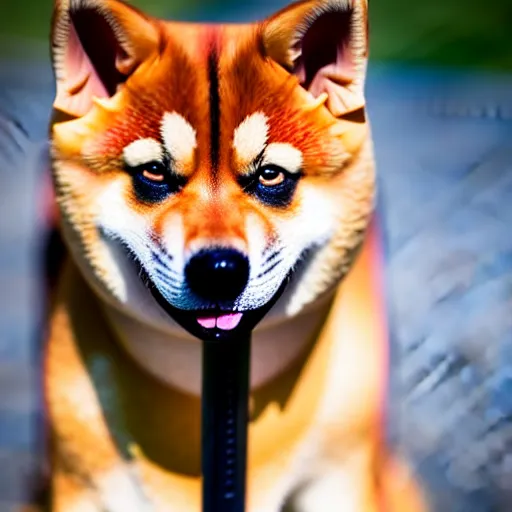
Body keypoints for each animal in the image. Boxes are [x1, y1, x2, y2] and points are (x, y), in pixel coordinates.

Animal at [37, 0, 428, 510]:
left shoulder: (338, 474)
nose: (219, 270)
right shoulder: (82, 482)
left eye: (270, 175)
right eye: (154, 172)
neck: (218, 384)